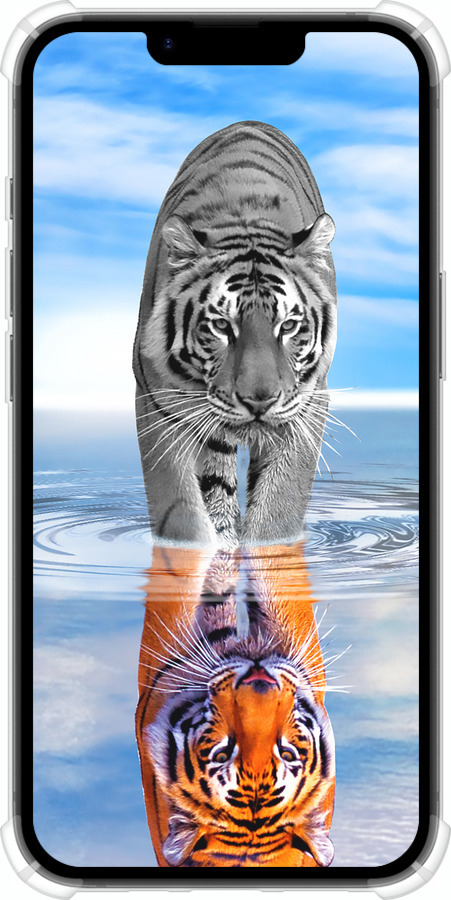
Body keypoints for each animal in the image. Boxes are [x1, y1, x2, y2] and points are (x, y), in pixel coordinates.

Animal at [133, 120, 337, 549]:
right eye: (221, 325)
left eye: (288, 326)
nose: (259, 400)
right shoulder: (157, 401)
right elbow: (181, 512)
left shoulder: (308, 404)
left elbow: (279, 509)